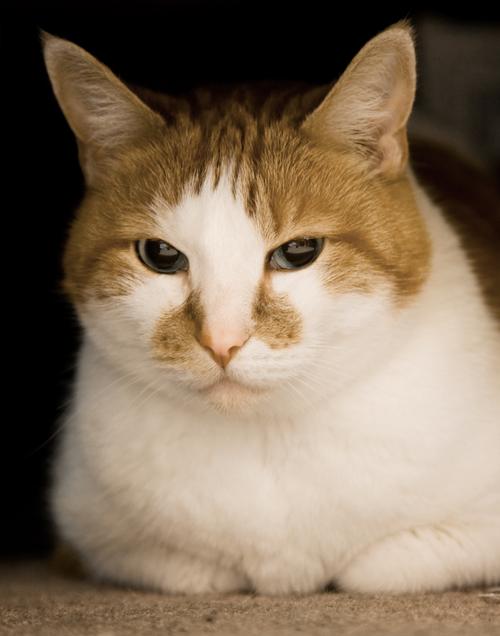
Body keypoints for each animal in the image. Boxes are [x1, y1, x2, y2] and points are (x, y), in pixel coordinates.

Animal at [44, 21, 500, 596]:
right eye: (161, 255)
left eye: (298, 252)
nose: (222, 341)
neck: (265, 434)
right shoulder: (94, 535)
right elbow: (198, 572)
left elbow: (374, 568)